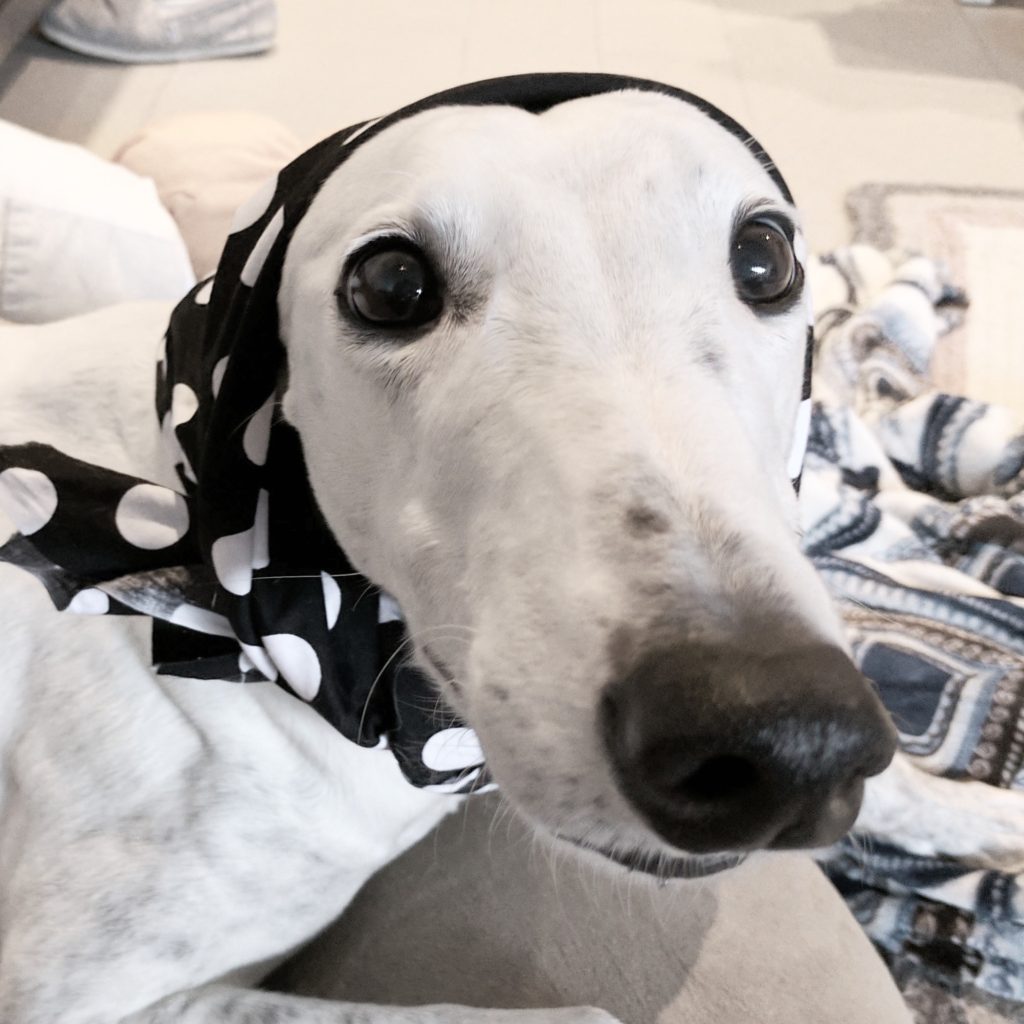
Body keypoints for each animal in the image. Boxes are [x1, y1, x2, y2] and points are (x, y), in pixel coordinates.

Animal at [2, 75, 1024, 1019]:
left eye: (766, 256)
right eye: (389, 285)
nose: (783, 745)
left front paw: (987, 812)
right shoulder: (68, 996)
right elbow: (571, 1010)